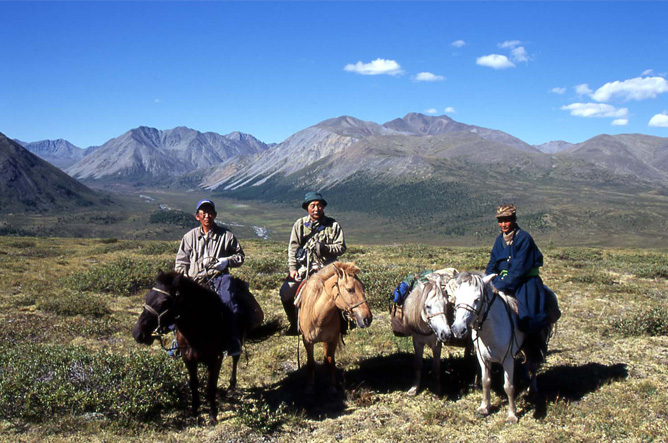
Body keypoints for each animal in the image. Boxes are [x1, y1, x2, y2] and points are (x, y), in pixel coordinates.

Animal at [130, 270, 258, 424]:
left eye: (164, 302)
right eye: (147, 296)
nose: (137, 333)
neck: (198, 329)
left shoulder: (215, 360)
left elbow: (211, 387)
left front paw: (213, 415)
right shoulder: (189, 360)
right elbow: (194, 383)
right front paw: (195, 409)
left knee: (236, 359)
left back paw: (232, 384)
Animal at [294, 262, 374, 394]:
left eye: (363, 287)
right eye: (350, 289)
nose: (367, 319)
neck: (318, 316)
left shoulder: (332, 340)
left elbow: (331, 362)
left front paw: (332, 387)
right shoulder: (308, 342)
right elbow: (310, 363)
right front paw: (309, 387)